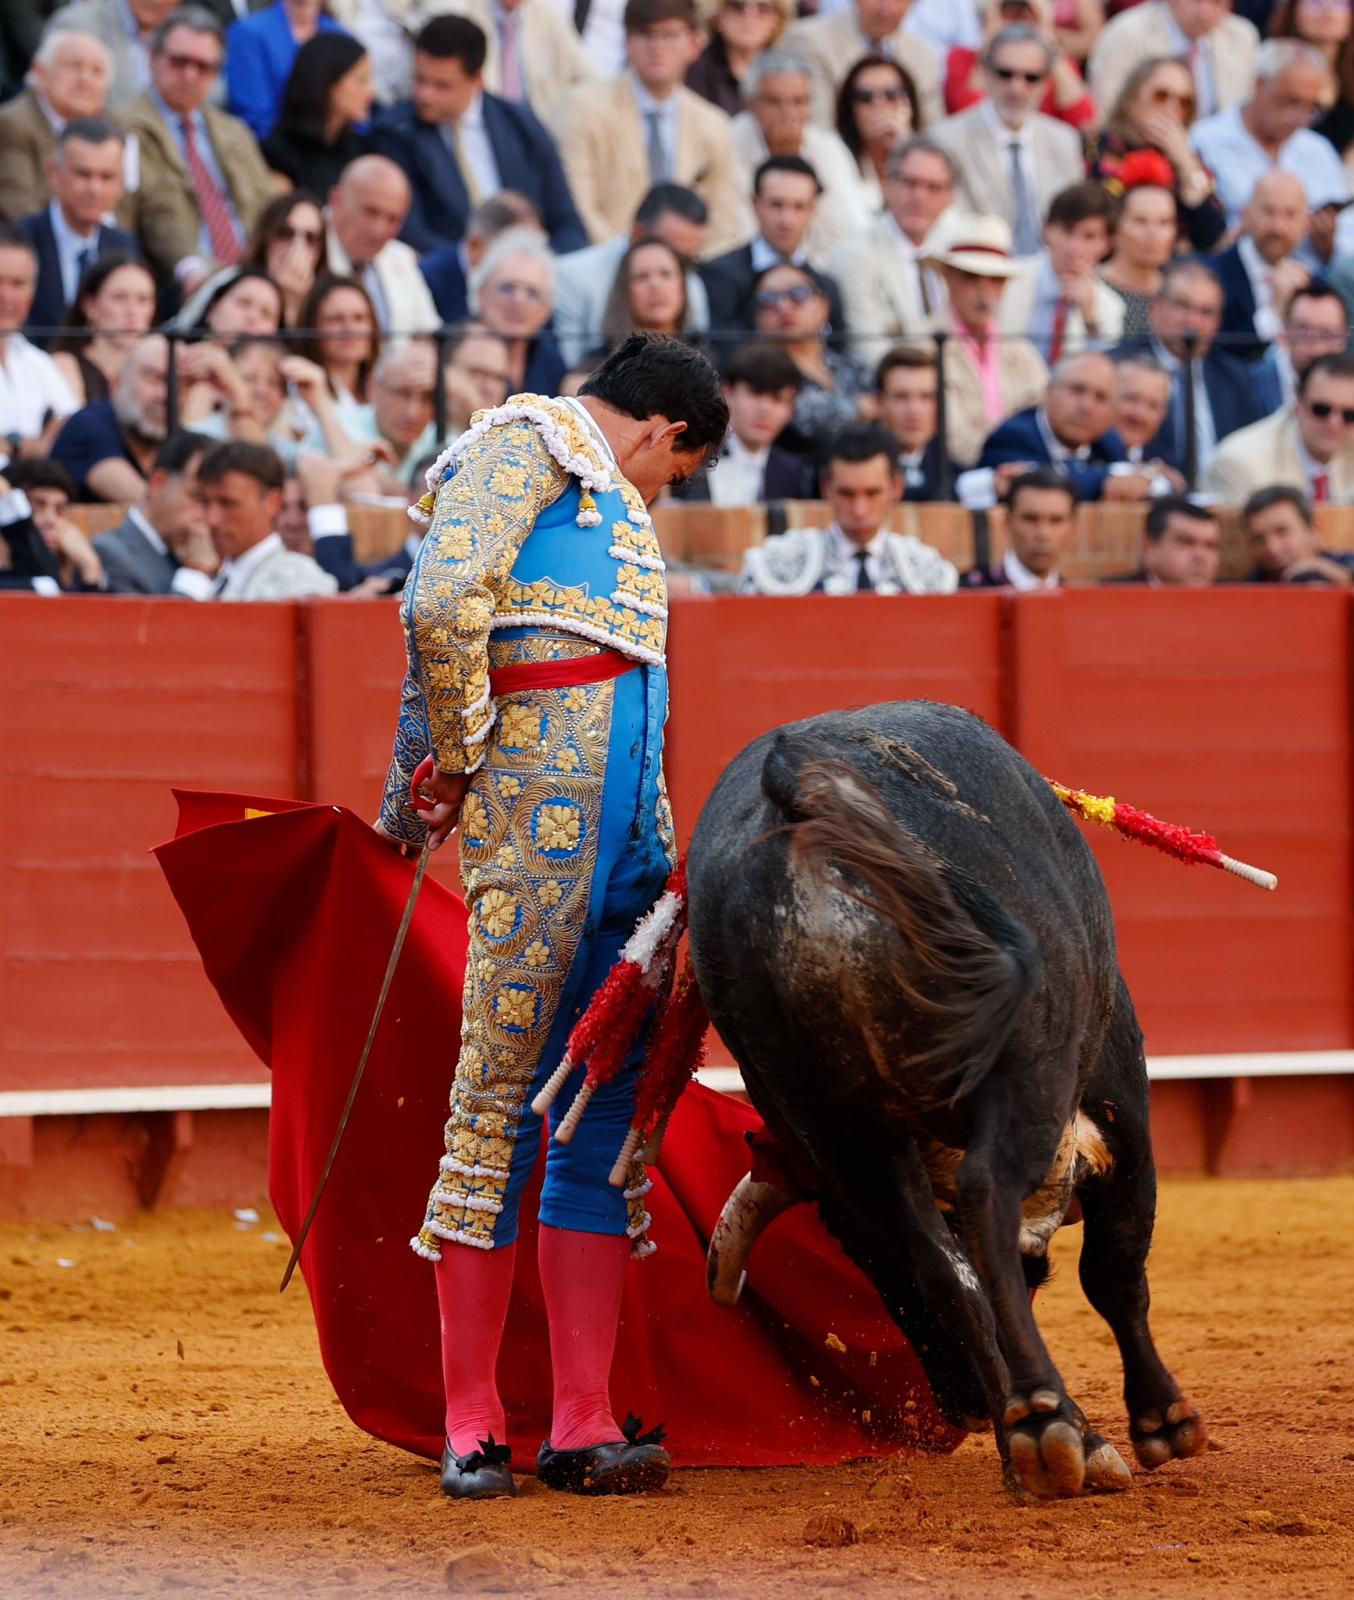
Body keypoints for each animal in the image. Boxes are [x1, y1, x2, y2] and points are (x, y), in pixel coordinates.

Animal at [687, 700, 1208, 1499]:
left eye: (869, 1271)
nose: (956, 1404)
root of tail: (799, 780)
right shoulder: (1126, 1120)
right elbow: (1117, 1272)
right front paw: (1163, 1421)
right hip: (1029, 1075)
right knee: (990, 1204)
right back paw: (1050, 1427)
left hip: (841, 1132)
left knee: (947, 1271)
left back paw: (1036, 1443)